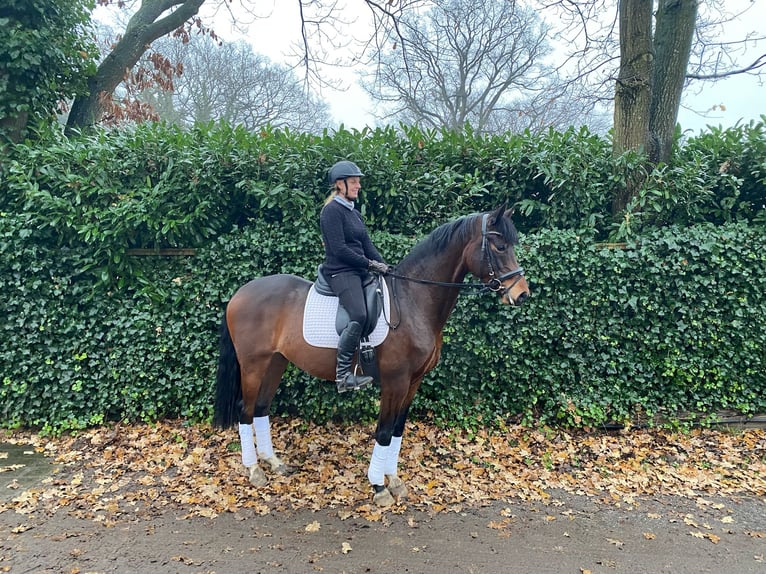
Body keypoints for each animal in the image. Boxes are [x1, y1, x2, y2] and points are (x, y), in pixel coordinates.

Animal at [213, 204, 532, 508]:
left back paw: (274, 463)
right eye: (500, 246)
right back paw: (255, 470)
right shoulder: (395, 381)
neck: (413, 300)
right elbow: (384, 432)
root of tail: (239, 293)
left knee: (261, 408)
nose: (522, 295)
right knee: (245, 410)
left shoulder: (414, 381)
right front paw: (379, 488)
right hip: (254, 365)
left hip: (275, 363)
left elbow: (397, 430)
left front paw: (394, 480)